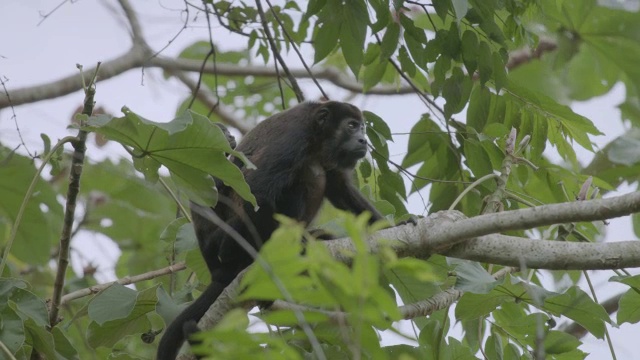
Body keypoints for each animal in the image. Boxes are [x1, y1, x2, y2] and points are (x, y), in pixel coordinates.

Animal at [156, 100, 384, 358]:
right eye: (351, 126)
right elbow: (258, 194)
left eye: (362, 128)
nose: (363, 140)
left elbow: (340, 188)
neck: (318, 137)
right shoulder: (293, 137)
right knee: (301, 178)